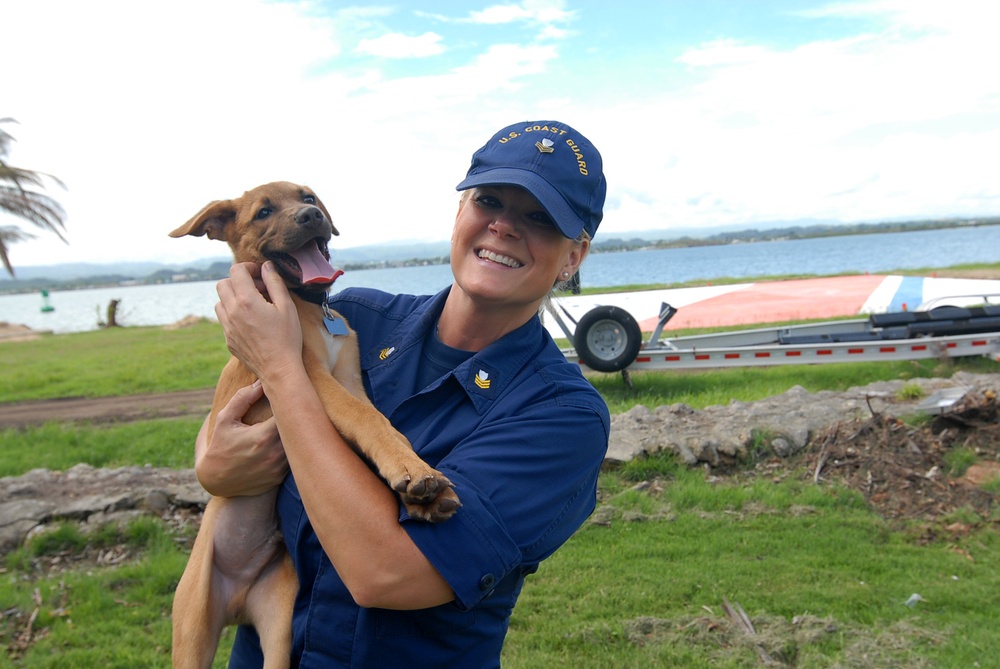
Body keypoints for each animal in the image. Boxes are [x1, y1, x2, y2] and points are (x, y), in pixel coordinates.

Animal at [169, 183, 460, 668]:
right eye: (263, 212)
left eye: (307, 197)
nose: (310, 217)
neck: (310, 308)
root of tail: (236, 599)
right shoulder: (313, 380)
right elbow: (371, 422)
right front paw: (413, 471)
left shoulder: (348, 381)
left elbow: (377, 424)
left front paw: (418, 489)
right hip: (191, 631)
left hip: (280, 622)